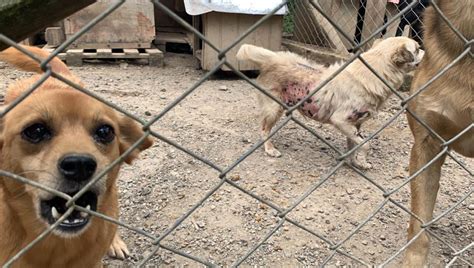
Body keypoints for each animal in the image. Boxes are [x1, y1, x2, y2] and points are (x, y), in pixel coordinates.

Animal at [235, 36, 424, 169]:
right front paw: (361, 160)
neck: (374, 73)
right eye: (417, 48)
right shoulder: (340, 120)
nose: (425, 49)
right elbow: (366, 144)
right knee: (264, 129)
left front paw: (356, 163)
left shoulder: (354, 125)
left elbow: (354, 145)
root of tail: (274, 58)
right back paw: (269, 149)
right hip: (274, 108)